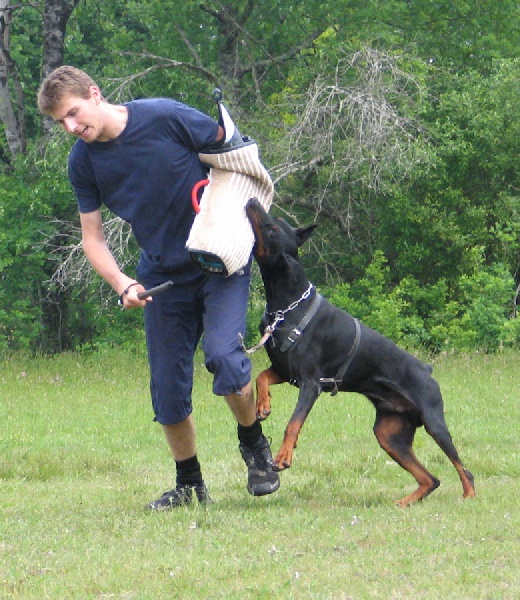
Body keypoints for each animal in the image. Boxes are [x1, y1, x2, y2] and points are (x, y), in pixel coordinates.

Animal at [244, 197, 476, 506]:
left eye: (272, 228)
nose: (252, 201)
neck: (287, 306)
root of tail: (427, 369)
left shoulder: (310, 383)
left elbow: (293, 423)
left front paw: (283, 457)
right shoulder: (286, 370)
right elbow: (261, 376)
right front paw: (263, 405)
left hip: (433, 421)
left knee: (463, 468)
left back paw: (468, 494)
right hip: (389, 435)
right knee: (431, 478)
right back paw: (406, 502)